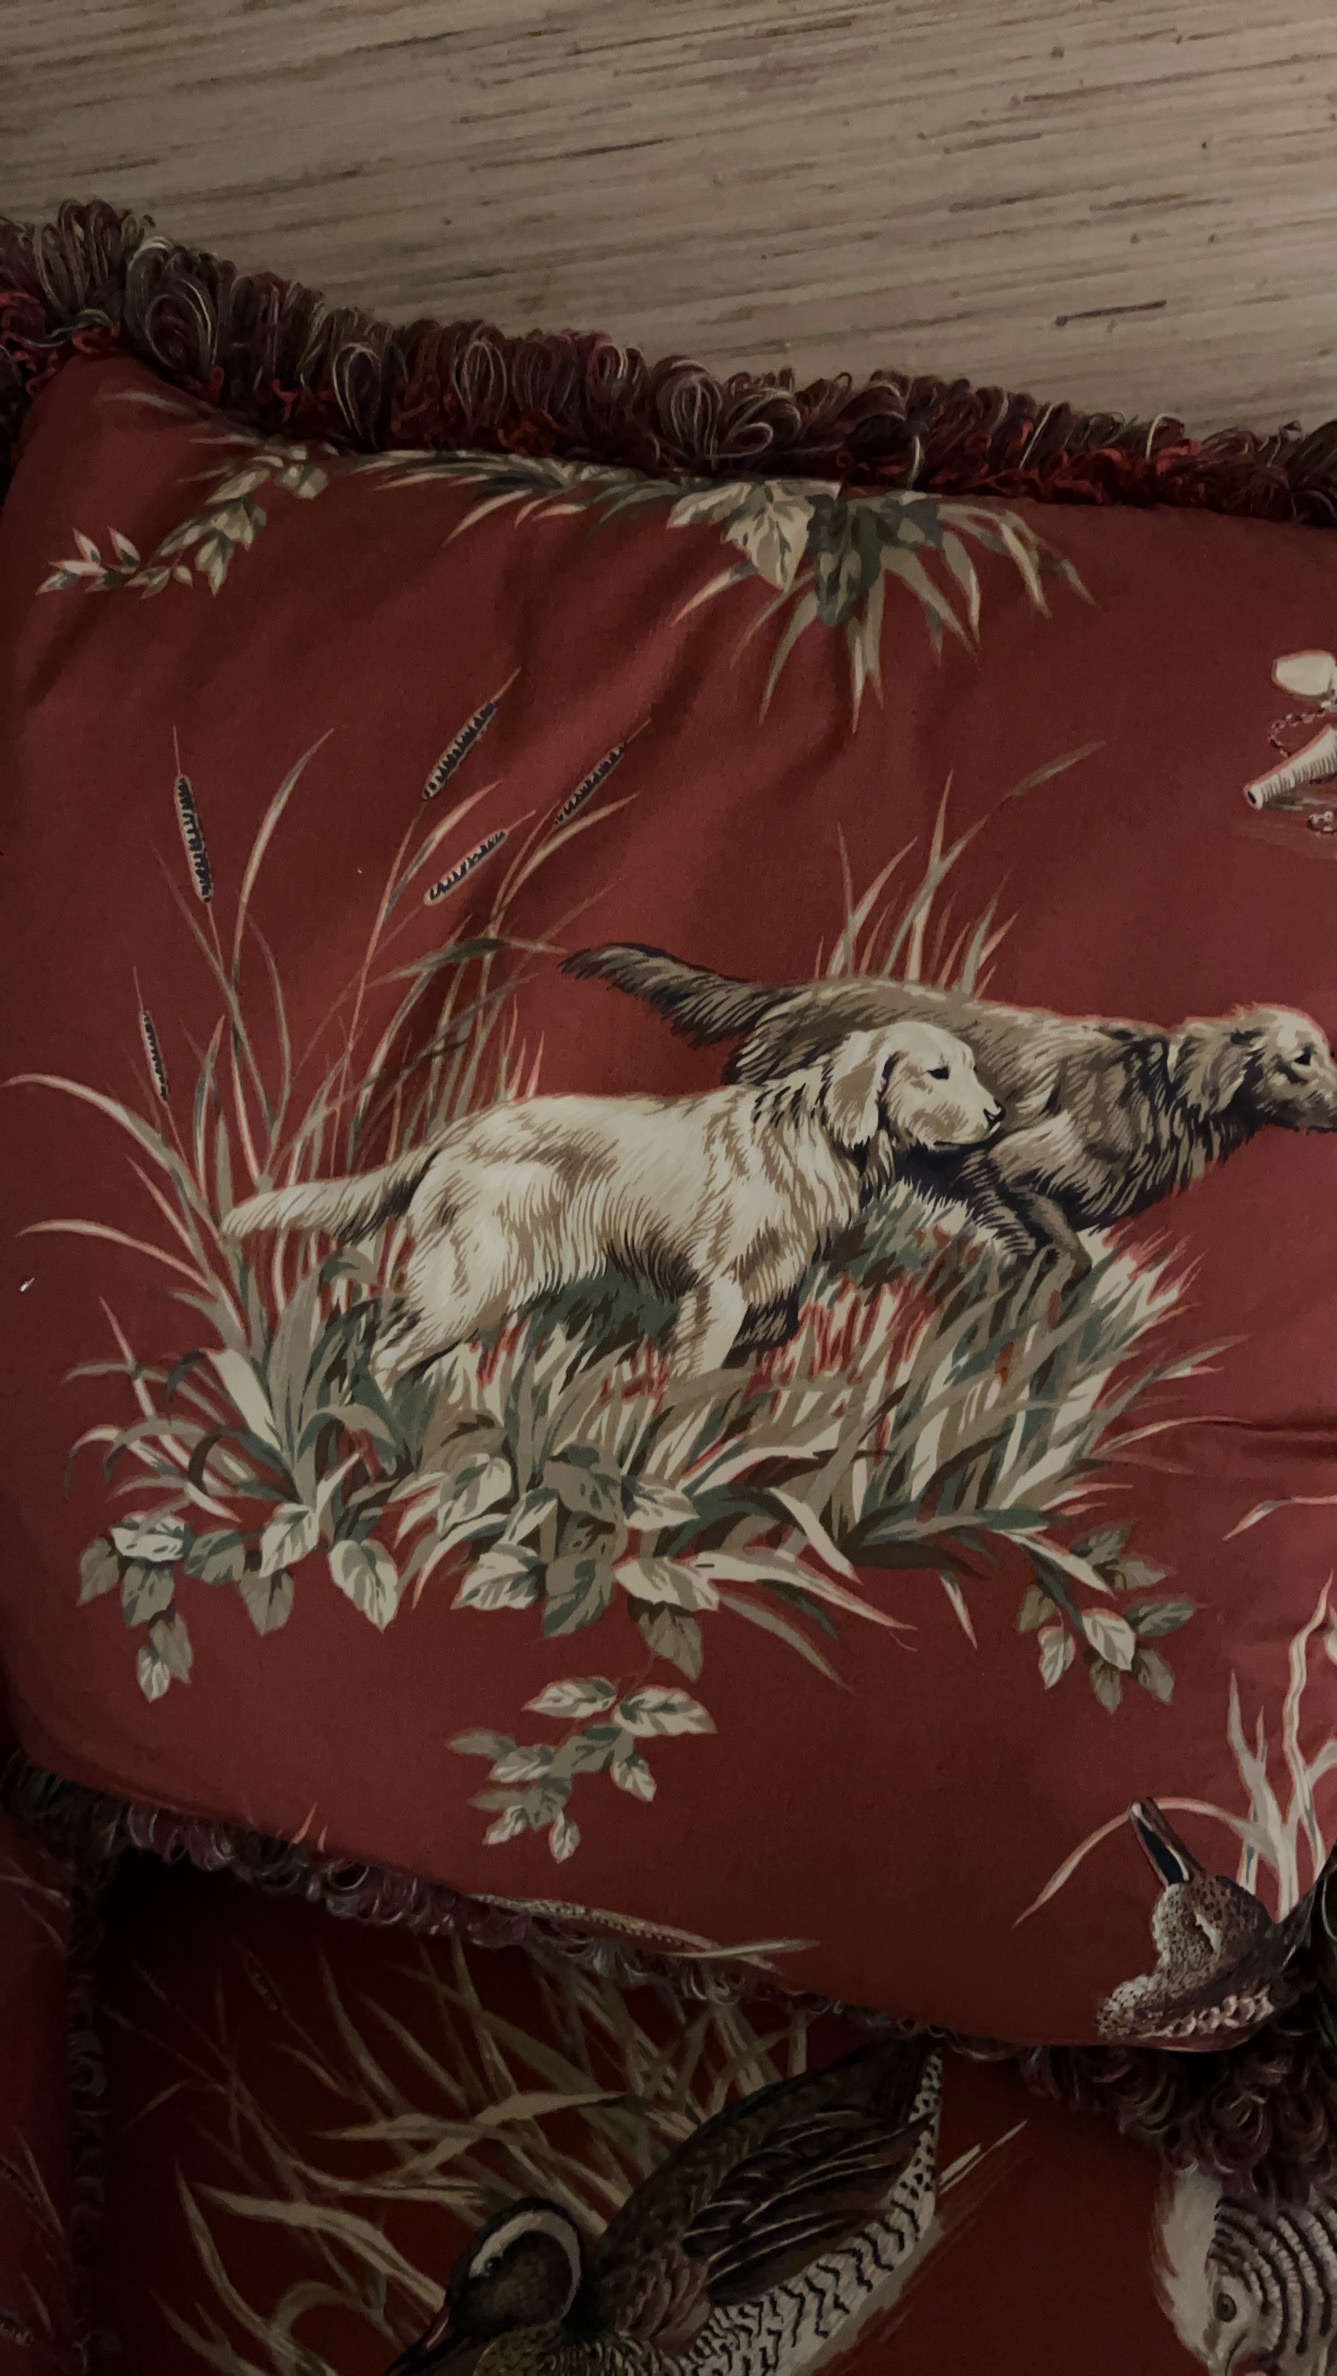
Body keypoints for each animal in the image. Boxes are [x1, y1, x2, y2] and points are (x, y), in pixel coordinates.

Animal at [224, 1019, 999, 1384]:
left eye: (970, 1066)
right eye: (937, 1072)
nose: (996, 1115)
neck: (812, 1138)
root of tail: (459, 1130)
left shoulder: (771, 1297)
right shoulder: (718, 1291)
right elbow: (691, 1378)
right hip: (475, 1281)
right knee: (384, 1359)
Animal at [565, 944, 1337, 1277]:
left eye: (1323, 1052)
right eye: (1299, 1058)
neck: (1163, 1091)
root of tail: (792, 994)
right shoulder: (1009, 1164)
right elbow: (1069, 1257)